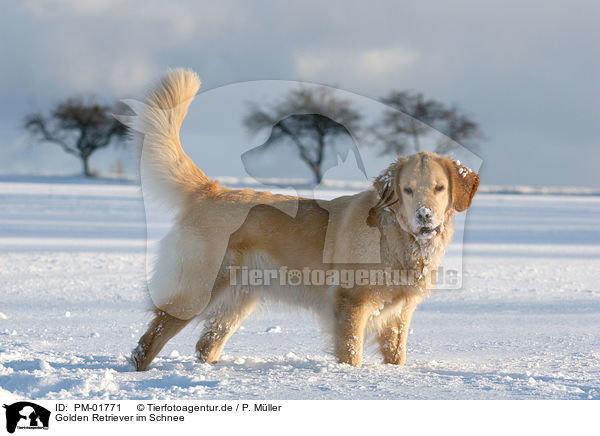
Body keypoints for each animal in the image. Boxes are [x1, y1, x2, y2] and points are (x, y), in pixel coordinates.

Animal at [126, 70, 478, 370]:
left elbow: (396, 355)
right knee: (149, 340)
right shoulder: (352, 302)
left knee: (205, 345)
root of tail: (210, 189)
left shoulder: (399, 314)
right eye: (407, 189)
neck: (399, 238)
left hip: (237, 300)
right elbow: (351, 352)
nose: (424, 216)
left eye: (439, 188)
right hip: (197, 290)